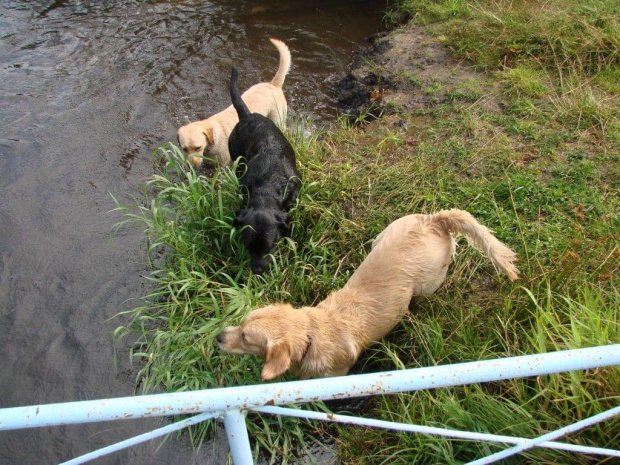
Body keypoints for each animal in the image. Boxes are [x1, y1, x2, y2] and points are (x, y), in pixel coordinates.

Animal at [176, 38, 290, 168]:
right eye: (184, 149)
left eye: (197, 147)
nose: (192, 166)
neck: (214, 137)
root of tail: (273, 84)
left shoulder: (225, 164)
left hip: (278, 119)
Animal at [217, 208, 520, 378]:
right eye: (241, 323)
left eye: (245, 337)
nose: (218, 336)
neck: (313, 334)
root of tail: (434, 220)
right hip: (384, 235)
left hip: (428, 283)